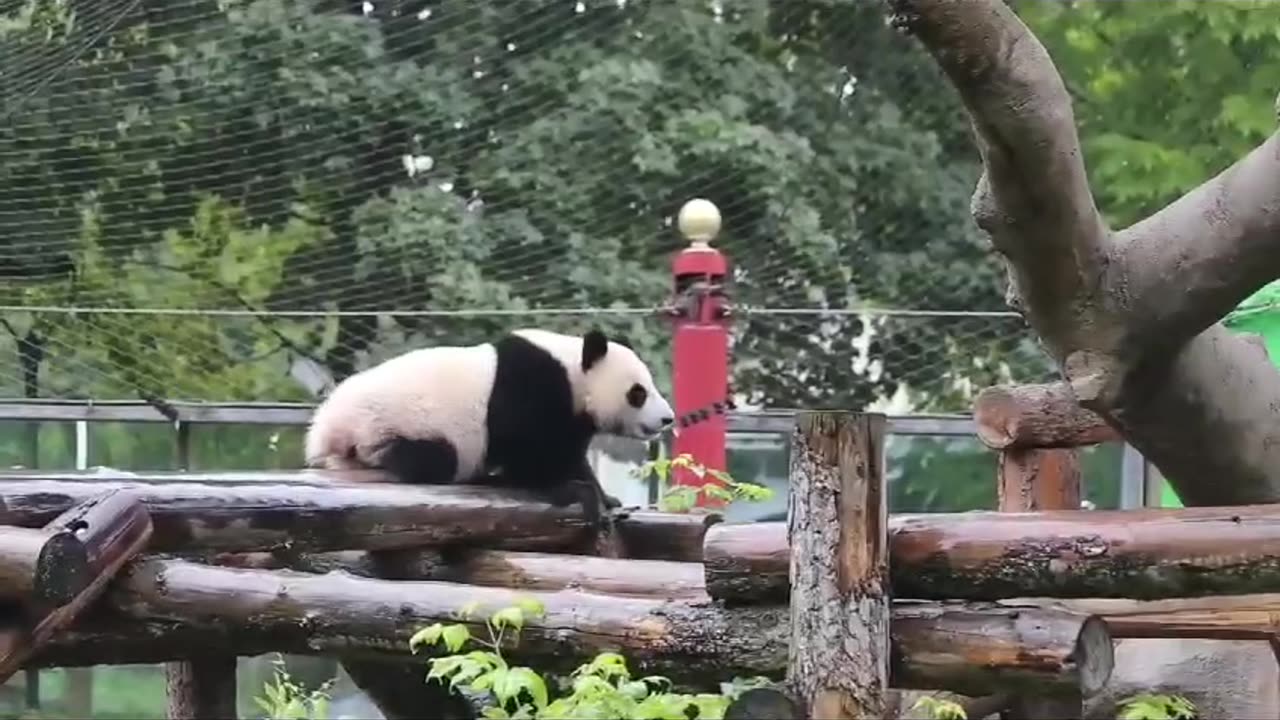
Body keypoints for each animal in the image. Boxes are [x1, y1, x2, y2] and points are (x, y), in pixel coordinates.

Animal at [303, 325, 675, 520]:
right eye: (638, 393)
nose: (667, 418)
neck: (574, 372)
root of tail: (325, 428)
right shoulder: (531, 388)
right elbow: (530, 449)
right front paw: (575, 491)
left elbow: (570, 454)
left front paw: (606, 497)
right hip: (389, 424)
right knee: (433, 459)